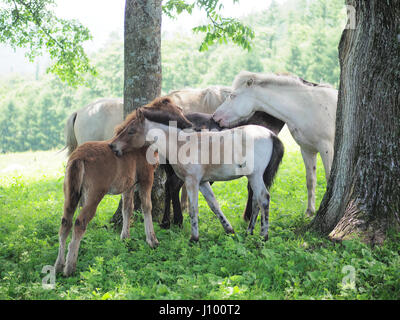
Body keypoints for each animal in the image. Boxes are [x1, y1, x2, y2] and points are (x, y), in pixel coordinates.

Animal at [212, 72, 338, 218]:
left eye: (233, 96)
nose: (215, 117)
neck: (307, 107)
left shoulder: (326, 149)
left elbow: (329, 177)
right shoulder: (307, 150)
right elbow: (310, 181)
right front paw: (309, 212)